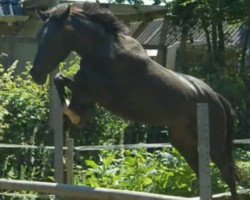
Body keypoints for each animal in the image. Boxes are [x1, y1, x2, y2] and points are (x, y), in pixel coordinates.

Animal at [30, 3, 238, 199]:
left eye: (52, 39)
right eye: (38, 36)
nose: (35, 74)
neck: (101, 52)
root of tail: (217, 97)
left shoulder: (103, 91)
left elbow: (74, 83)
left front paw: (73, 113)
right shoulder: (86, 92)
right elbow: (62, 83)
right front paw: (74, 114)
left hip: (214, 143)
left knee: (228, 173)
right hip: (184, 141)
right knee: (204, 171)